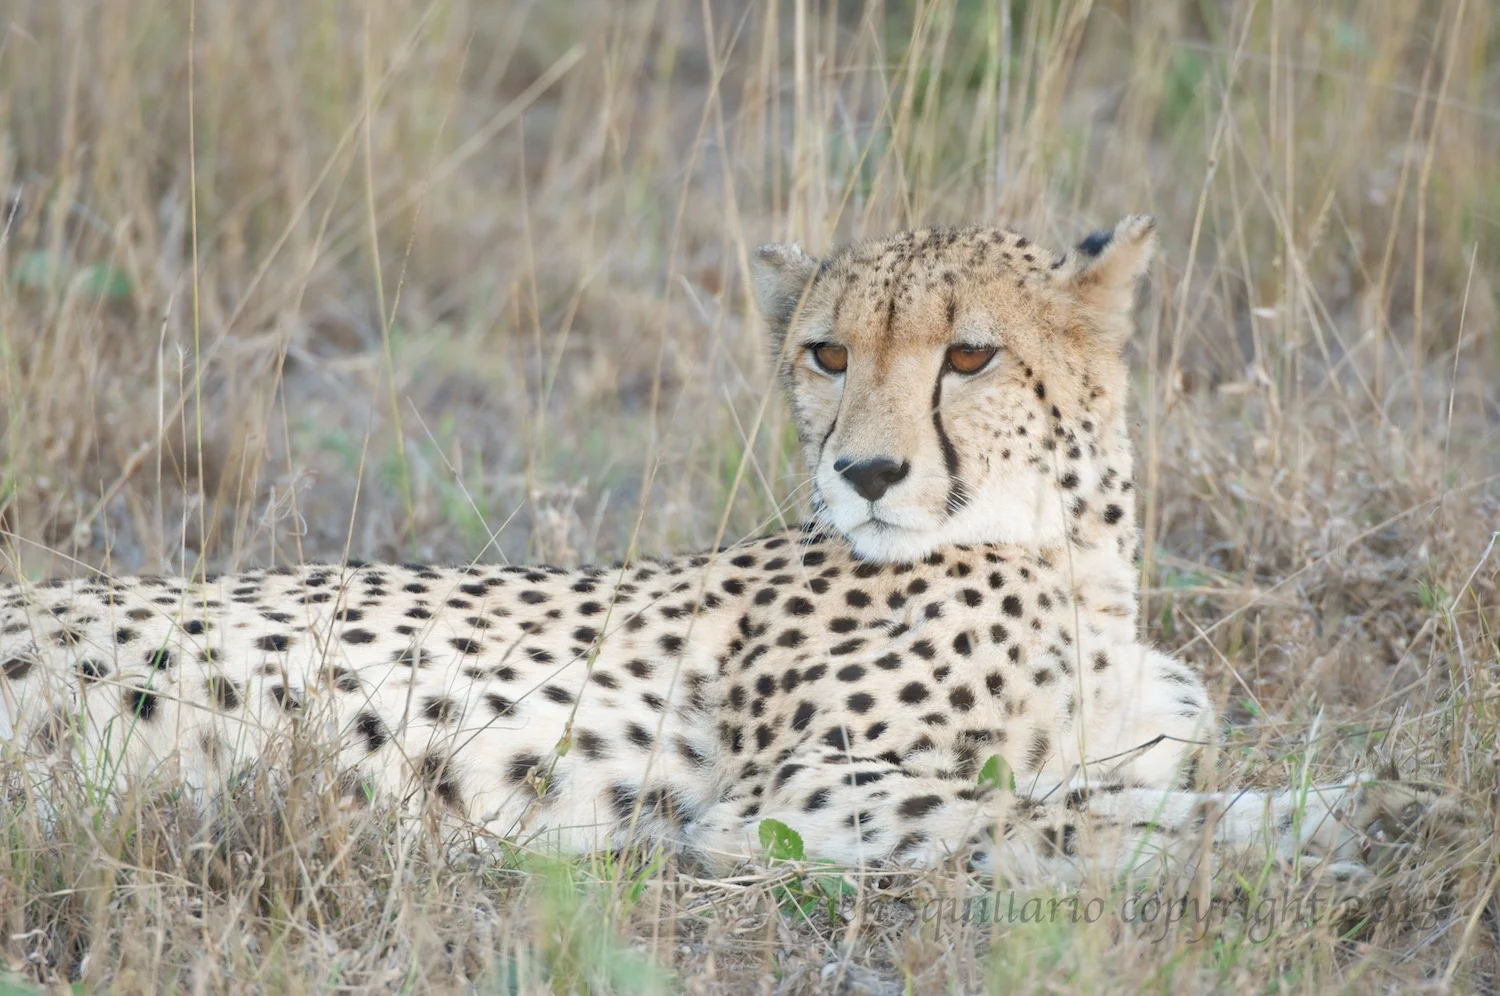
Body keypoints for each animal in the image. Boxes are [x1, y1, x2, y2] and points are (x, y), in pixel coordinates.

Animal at [0, 216, 1467, 888]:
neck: (1072, 557)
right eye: (826, 353)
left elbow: (1136, 793)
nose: (865, 473)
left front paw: (1381, 809)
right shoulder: (799, 798)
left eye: (970, 355)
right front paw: (1334, 841)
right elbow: (1063, 820)